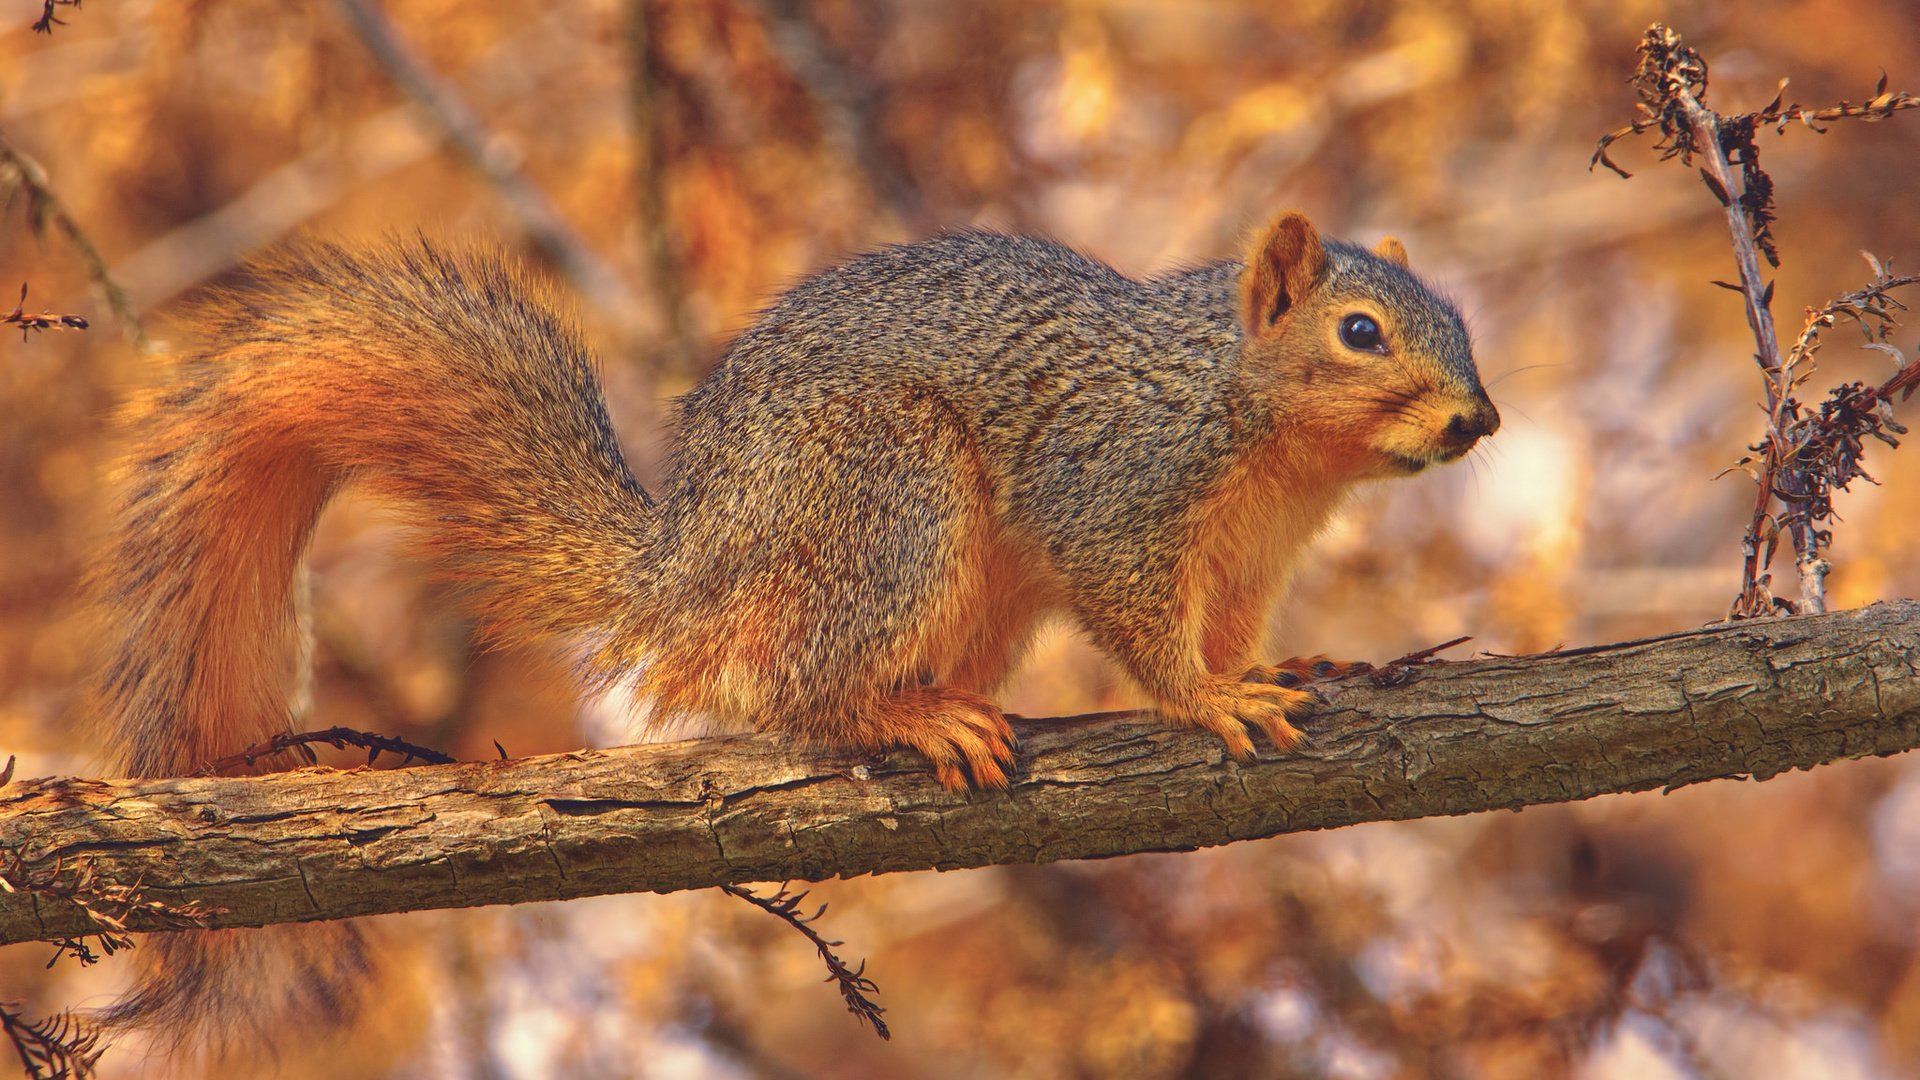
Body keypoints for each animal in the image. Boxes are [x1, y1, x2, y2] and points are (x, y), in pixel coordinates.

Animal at [93, 208, 1497, 1045]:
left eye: (1461, 322)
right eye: (1360, 332)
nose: (1479, 419)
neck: (1259, 429)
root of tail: (698, 564)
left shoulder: (1251, 552)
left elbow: (1230, 627)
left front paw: (1271, 666)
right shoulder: (1117, 490)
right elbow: (1143, 623)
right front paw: (1205, 701)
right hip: (891, 493)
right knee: (801, 691)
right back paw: (908, 717)